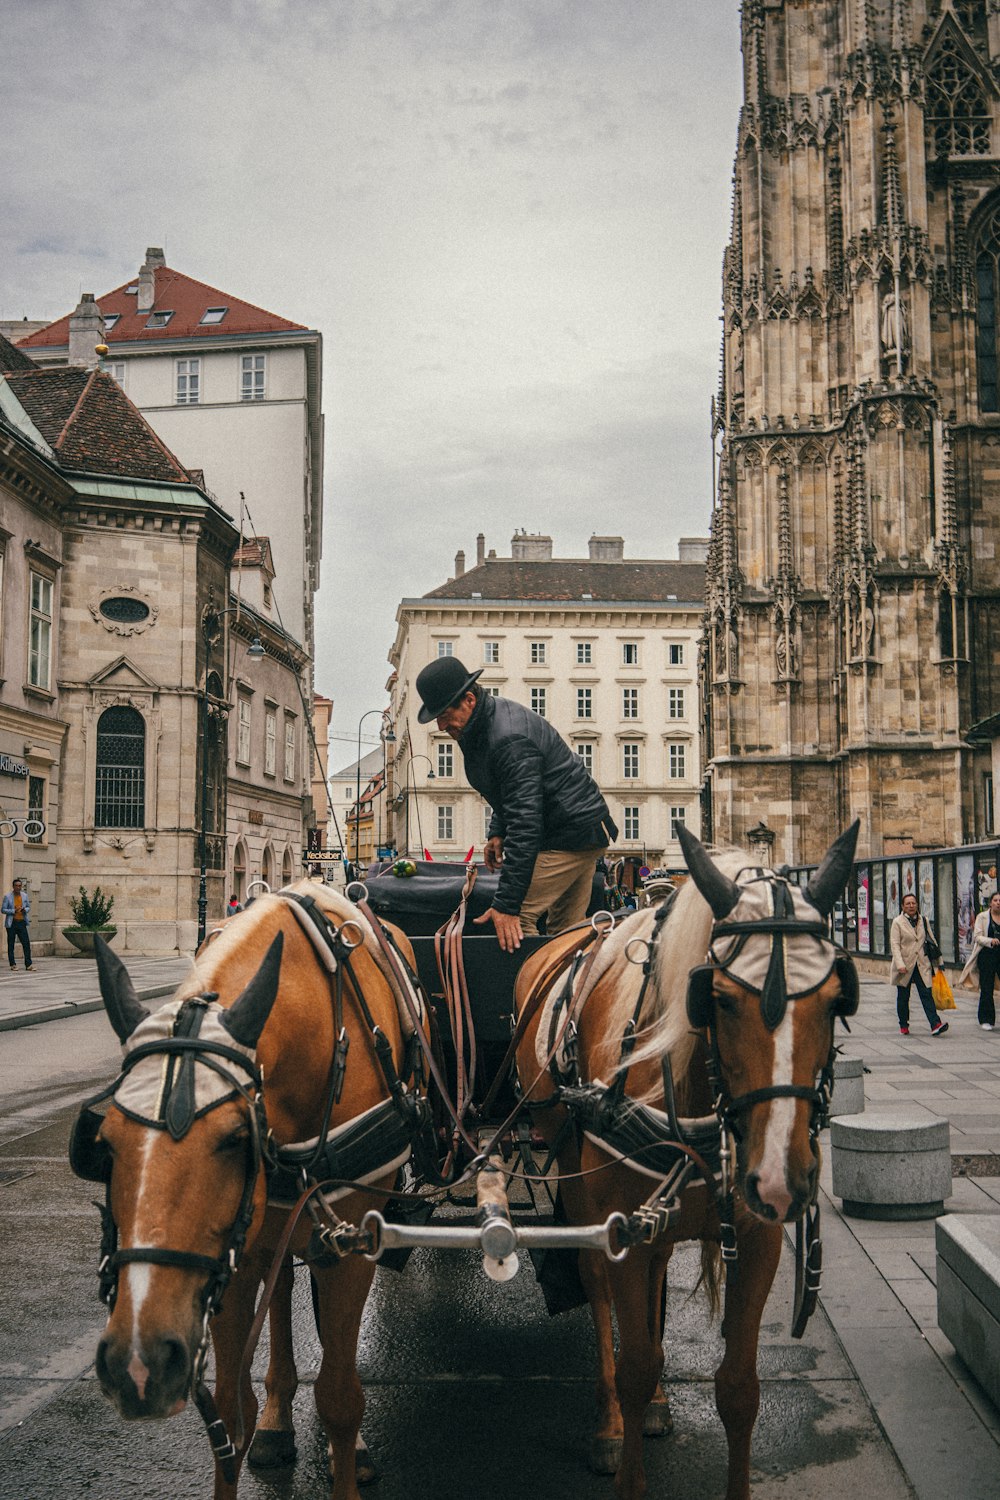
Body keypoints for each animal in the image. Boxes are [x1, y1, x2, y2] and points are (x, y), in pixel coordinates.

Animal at [69, 876, 431, 1500]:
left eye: (236, 1139)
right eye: (106, 1143)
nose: (139, 1364)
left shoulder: (350, 1246)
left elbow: (340, 1399)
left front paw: (347, 1447)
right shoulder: (228, 1262)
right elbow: (231, 1413)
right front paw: (259, 1421)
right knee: (281, 1288)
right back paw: (277, 1420)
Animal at [515, 822, 863, 1500]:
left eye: (839, 997)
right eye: (718, 999)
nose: (780, 1179)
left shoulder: (757, 1238)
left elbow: (739, 1387)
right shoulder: (621, 1228)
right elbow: (634, 1363)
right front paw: (624, 1440)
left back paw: (656, 1405)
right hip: (576, 1171)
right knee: (596, 1288)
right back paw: (611, 1422)